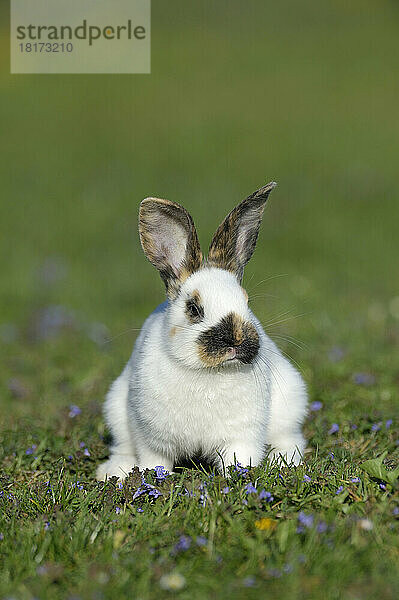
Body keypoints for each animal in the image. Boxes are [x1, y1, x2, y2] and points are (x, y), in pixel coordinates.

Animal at [97, 180, 310, 480]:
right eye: (194, 309)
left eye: (246, 302)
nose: (236, 340)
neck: (210, 372)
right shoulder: (152, 440)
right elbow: (154, 461)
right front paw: (154, 479)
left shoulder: (242, 436)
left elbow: (239, 458)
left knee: (291, 440)